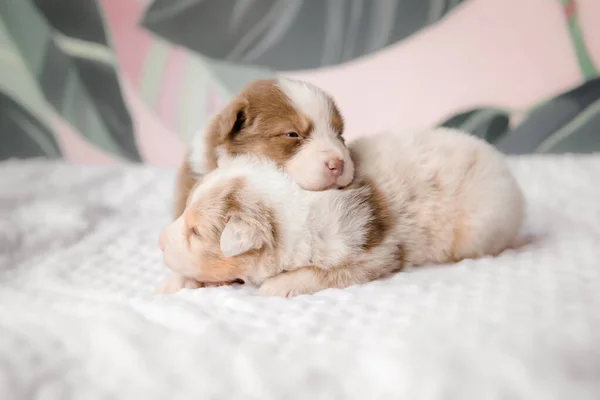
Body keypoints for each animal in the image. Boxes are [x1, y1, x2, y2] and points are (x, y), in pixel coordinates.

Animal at [158, 128, 524, 296]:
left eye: (196, 232)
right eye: (184, 213)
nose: (160, 242)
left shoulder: (373, 255)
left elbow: (320, 273)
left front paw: (278, 285)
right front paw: (178, 281)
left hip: (481, 227)